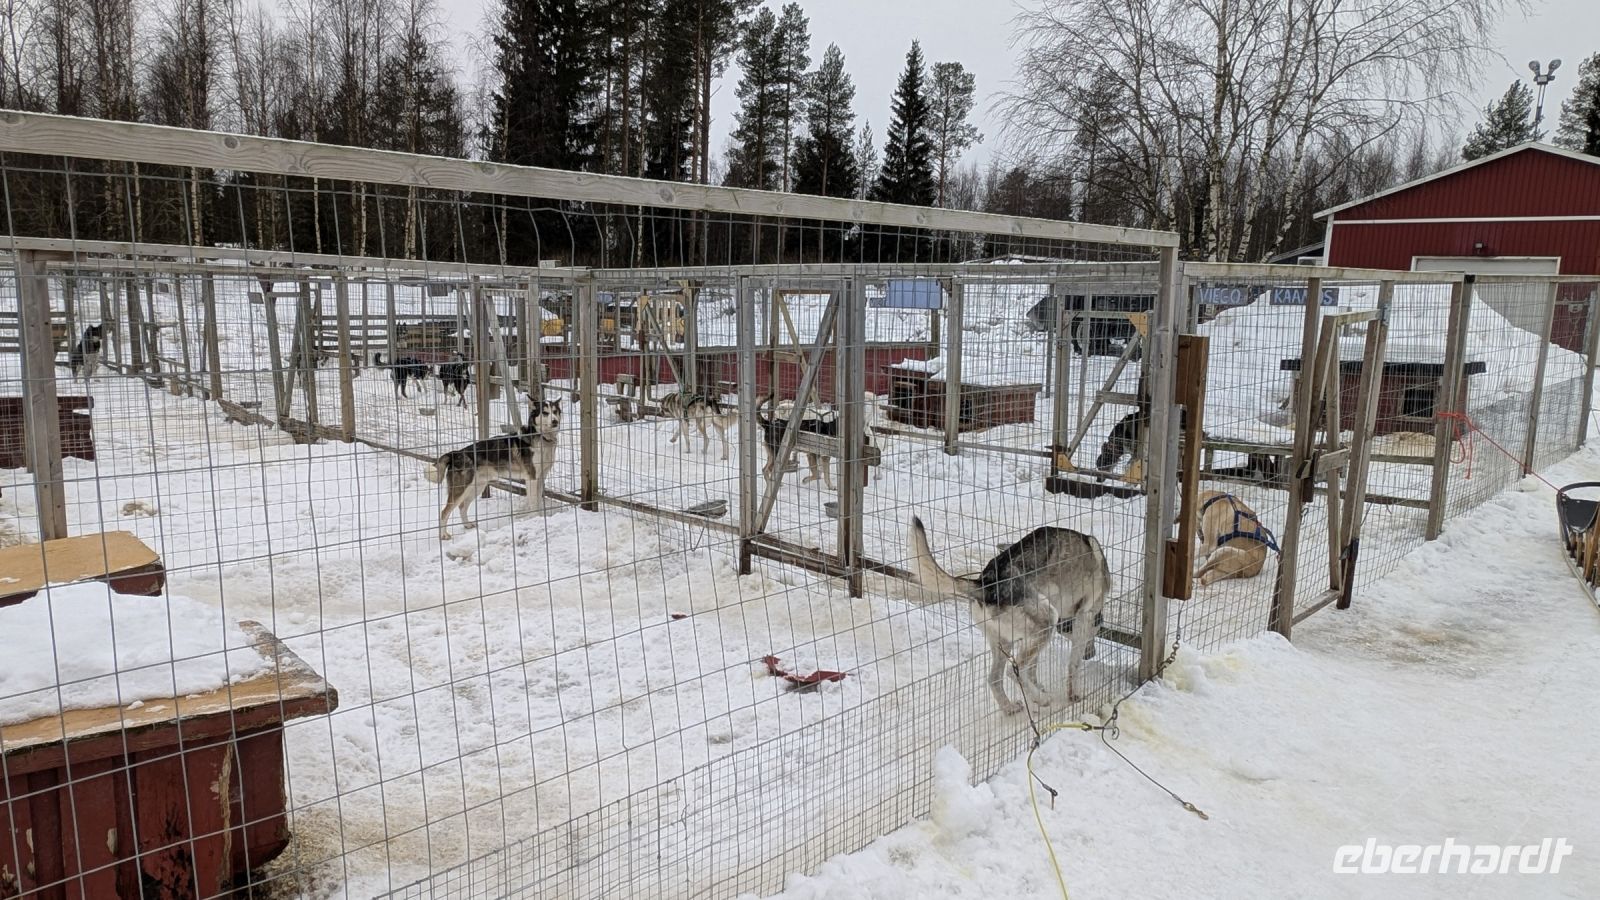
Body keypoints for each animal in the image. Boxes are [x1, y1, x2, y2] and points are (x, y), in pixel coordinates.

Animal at [426, 399, 561, 540]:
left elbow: (539, 500)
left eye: (555, 411)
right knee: (444, 512)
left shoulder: (541, 478)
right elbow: (533, 502)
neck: (542, 438)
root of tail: (456, 453)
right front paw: (535, 518)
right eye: (545, 413)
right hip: (461, 490)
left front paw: (540, 517)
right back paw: (443, 535)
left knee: (462, 507)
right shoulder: (532, 479)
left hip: (476, 487)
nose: (555, 421)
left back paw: (467, 525)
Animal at [907, 515, 1110, 714]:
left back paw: (1010, 707)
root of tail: (986, 584)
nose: (1091, 654)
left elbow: (1033, 668)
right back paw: (1040, 699)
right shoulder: (1084, 616)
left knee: (994, 678)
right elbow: (1073, 664)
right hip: (1047, 620)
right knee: (1013, 671)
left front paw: (1038, 686)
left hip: (1005, 642)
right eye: (1097, 630)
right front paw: (1073, 694)